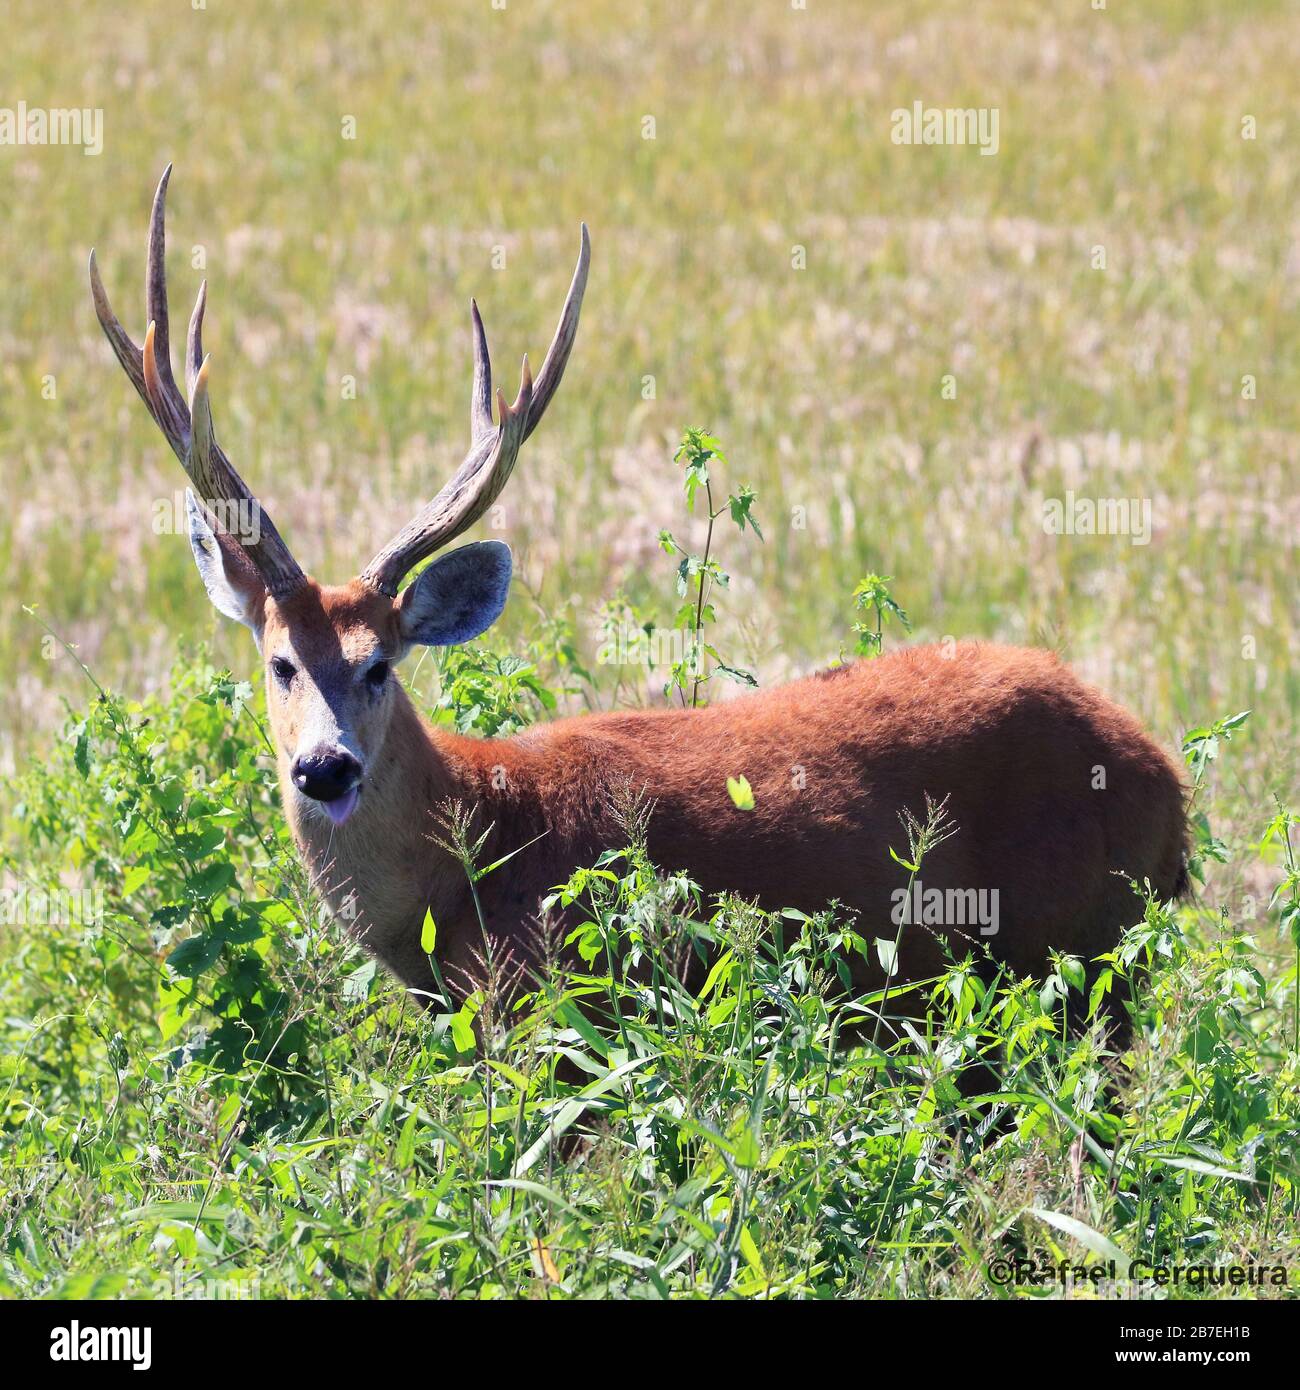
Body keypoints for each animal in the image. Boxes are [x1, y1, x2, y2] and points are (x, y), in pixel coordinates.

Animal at [88, 168, 1190, 1028]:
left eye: (379, 666)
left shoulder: (560, 1015)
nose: (324, 768)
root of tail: (1161, 773)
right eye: (280, 661)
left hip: (1084, 953)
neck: (471, 861)